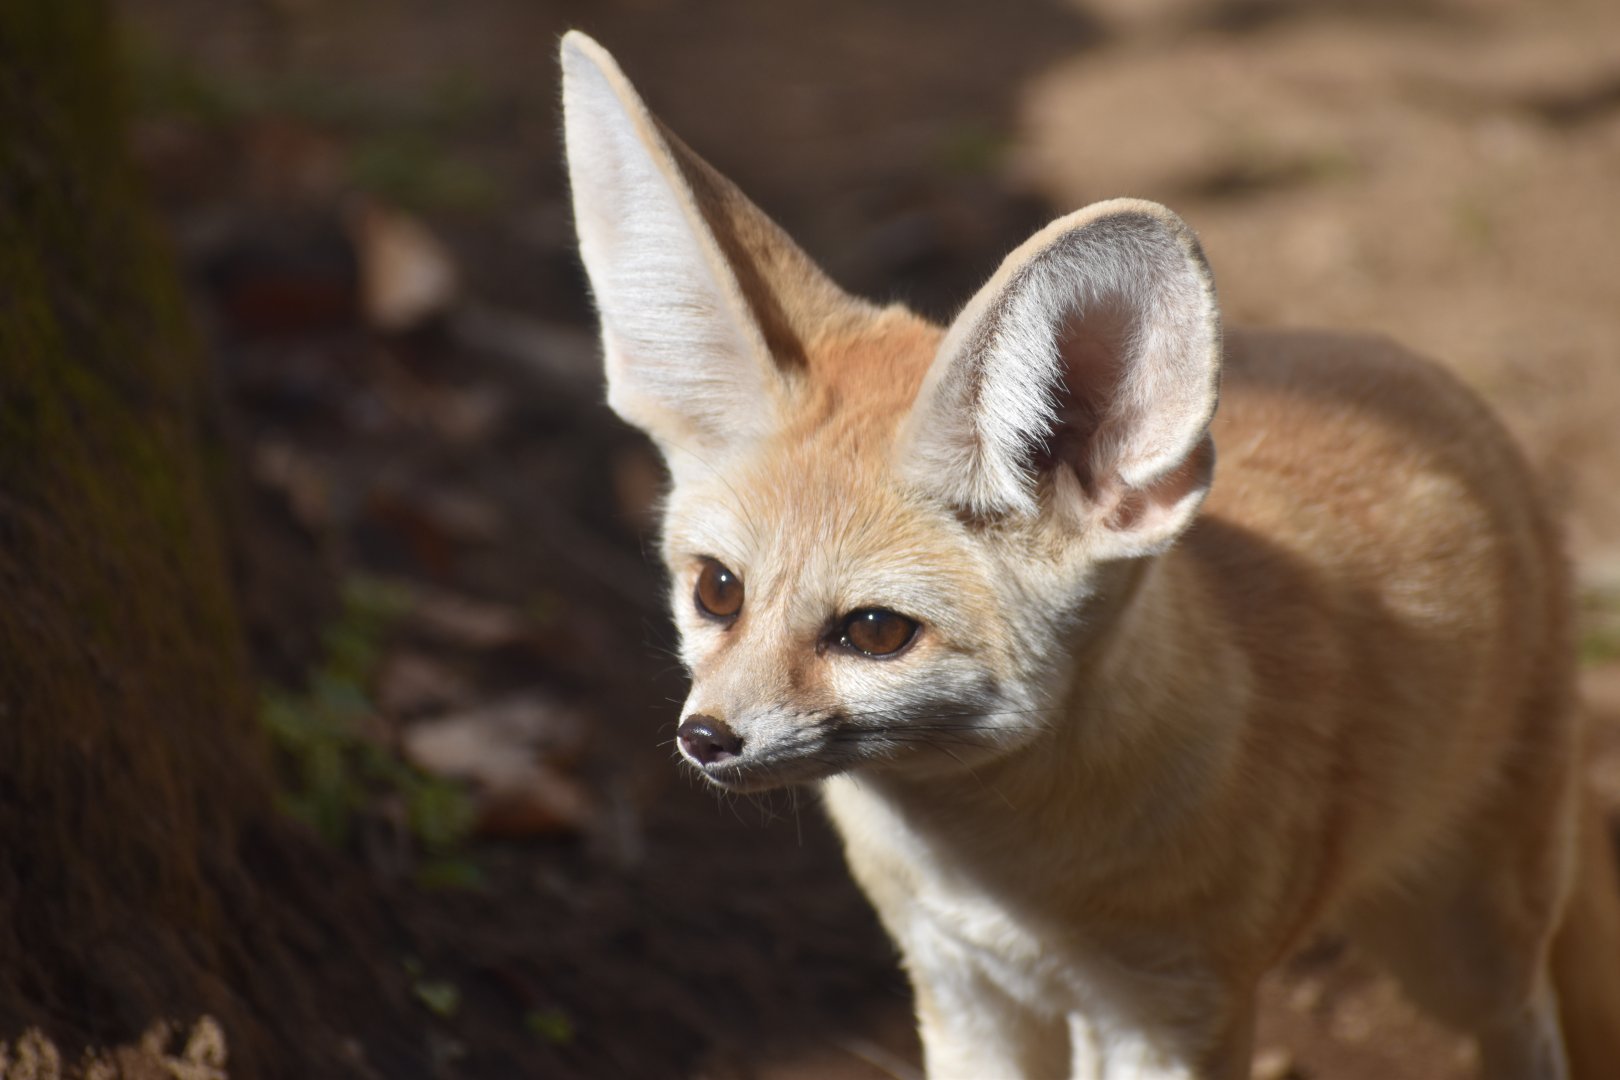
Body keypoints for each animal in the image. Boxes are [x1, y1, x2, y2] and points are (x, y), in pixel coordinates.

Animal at [558, 30, 1620, 1080]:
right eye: (717, 591)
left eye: (874, 632)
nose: (705, 737)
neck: (1000, 881)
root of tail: (1428, 378)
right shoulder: (962, 989)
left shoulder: (1174, 1014)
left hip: (1461, 951)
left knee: (1529, 1026)